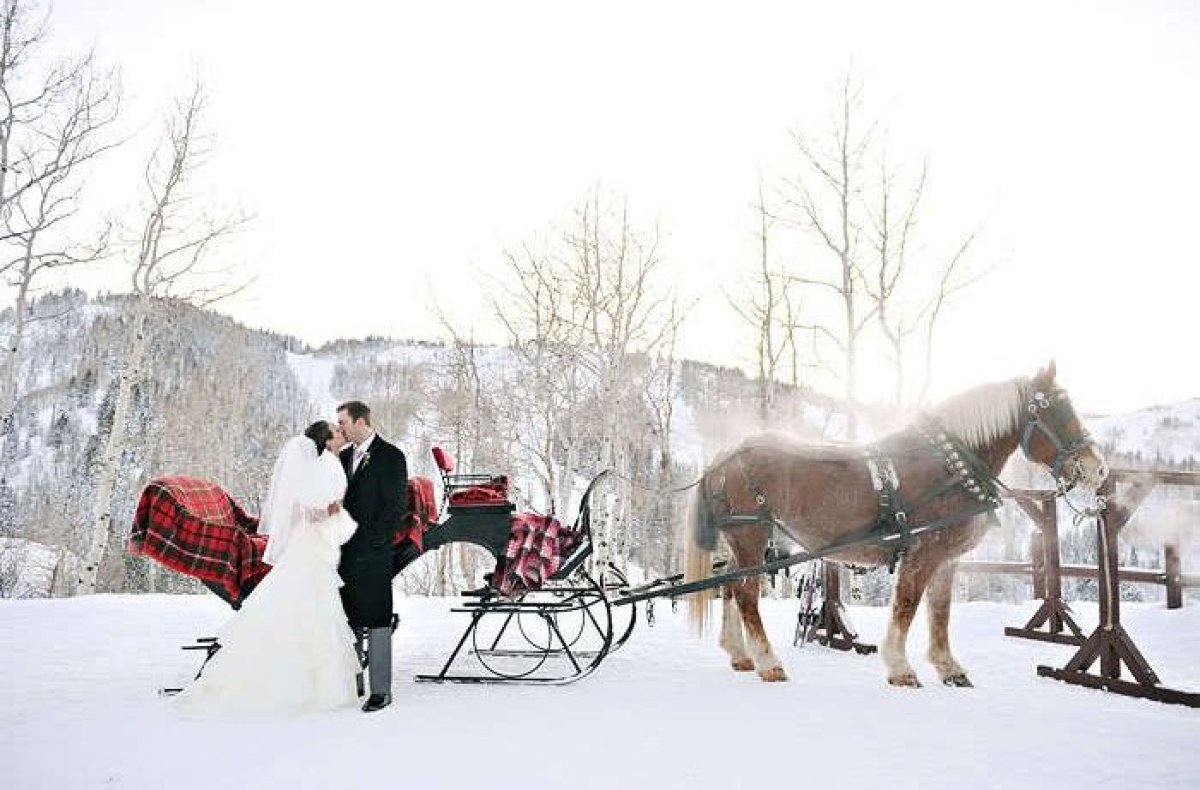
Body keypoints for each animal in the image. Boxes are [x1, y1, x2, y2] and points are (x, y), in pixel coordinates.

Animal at [686, 362, 1104, 681]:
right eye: (1057, 411)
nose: (1097, 468)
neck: (950, 467)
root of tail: (724, 457)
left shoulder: (947, 559)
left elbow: (940, 611)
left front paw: (948, 667)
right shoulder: (923, 551)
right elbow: (907, 603)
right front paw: (901, 668)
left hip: (743, 541)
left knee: (730, 587)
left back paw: (739, 654)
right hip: (751, 535)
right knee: (746, 594)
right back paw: (768, 662)